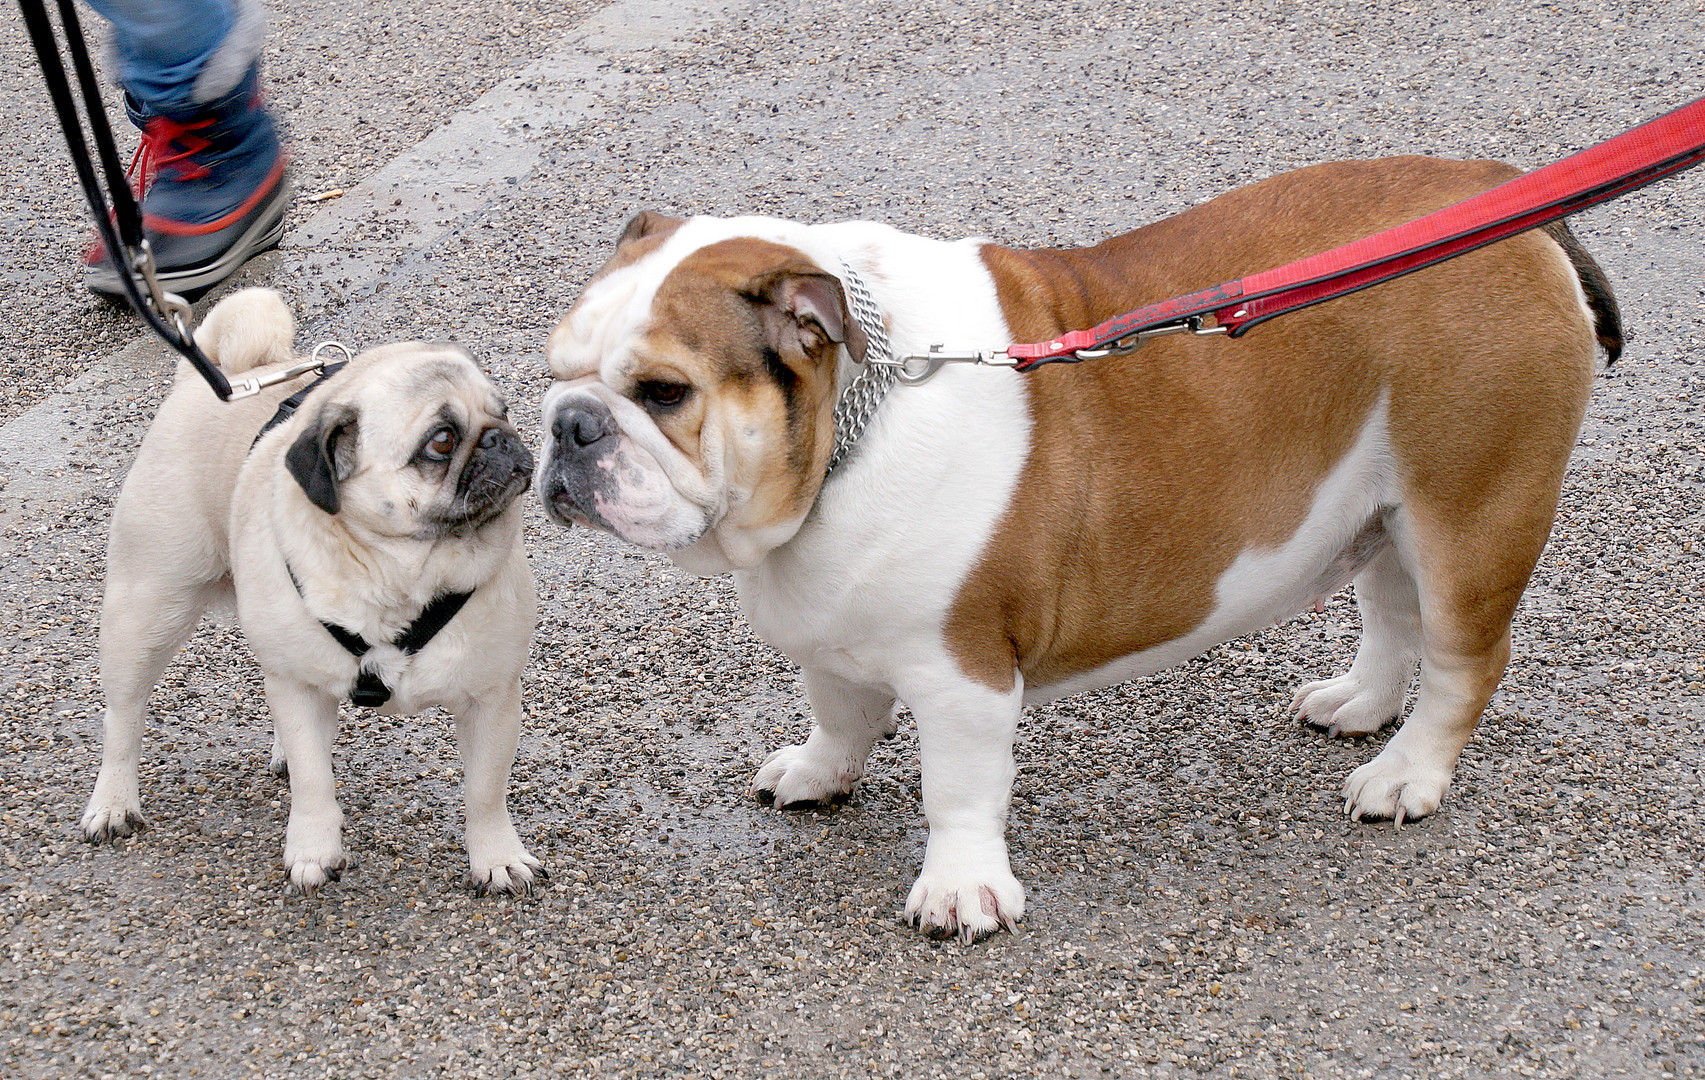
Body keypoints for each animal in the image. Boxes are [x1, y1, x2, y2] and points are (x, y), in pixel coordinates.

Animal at [83, 286, 542, 894]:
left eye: (504, 410)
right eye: (441, 442)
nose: (500, 438)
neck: (400, 572)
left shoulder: (491, 698)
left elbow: (485, 792)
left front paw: (495, 856)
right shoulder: (297, 688)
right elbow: (313, 781)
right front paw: (313, 848)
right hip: (146, 611)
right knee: (124, 717)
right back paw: (113, 800)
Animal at [538, 156, 1616, 941]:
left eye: (664, 393)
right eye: (553, 370)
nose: (569, 426)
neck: (854, 414)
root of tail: (1512, 206)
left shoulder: (963, 671)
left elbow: (958, 786)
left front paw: (960, 890)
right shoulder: (833, 630)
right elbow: (838, 709)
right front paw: (819, 769)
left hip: (1469, 505)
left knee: (1464, 658)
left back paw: (1406, 774)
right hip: (1387, 505)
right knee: (1392, 610)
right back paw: (1360, 705)